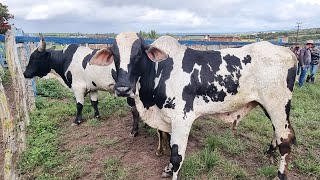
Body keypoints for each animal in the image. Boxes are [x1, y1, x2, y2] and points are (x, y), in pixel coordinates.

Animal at [89, 32, 298, 180]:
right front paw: (167, 168)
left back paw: (280, 175)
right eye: (114, 54)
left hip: (277, 105)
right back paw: (270, 151)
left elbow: (177, 155)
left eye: (139, 53)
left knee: (286, 140)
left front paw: (172, 171)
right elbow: (169, 145)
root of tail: (288, 52)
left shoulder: (182, 118)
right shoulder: (168, 119)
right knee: (280, 134)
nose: (122, 88)